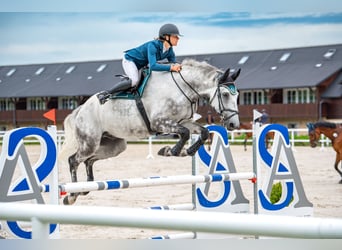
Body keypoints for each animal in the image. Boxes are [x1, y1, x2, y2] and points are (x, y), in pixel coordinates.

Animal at [58, 59, 240, 205]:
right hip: (90, 141)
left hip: (114, 146)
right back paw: (72, 195)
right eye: (225, 94)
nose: (233, 124)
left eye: (237, 95)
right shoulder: (160, 123)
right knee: (73, 160)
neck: (183, 88)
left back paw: (85, 188)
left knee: (89, 161)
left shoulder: (184, 122)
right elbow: (184, 134)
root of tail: (81, 109)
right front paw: (170, 151)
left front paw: (184, 151)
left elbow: (202, 133)